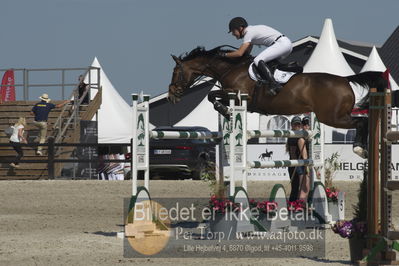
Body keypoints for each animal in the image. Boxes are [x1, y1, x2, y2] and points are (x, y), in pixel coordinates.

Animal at [167, 46, 390, 157]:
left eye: (176, 72)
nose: (171, 95)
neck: (231, 67)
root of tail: (345, 79)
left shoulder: (238, 93)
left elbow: (212, 95)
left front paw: (226, 111)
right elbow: (213, 96)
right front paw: (227, 112)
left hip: (332, 116)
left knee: (360, 122)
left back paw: (359, 148)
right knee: (362, 121)